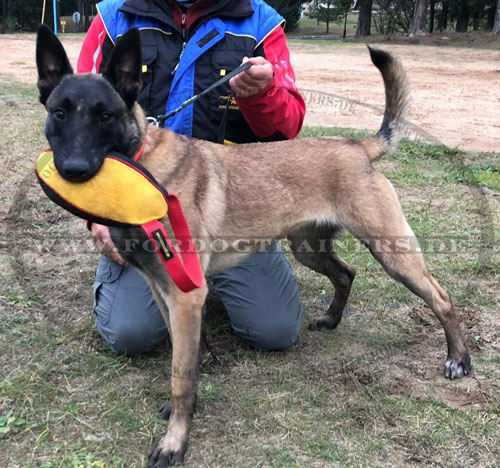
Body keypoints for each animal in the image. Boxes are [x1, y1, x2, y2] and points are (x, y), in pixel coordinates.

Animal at [36, 24, 472, 468]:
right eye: (59, 113)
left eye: (105, 115)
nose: (73, 169)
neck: (144, 169)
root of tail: (357, 146)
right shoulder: (164, 292)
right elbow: (182, 358)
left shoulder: (185, 296)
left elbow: (181, 377)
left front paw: (175, 441)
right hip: (308, 248)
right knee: (346, 273)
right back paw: (332, 320)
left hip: (392, 252)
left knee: (441, 297)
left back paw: (458, 360)